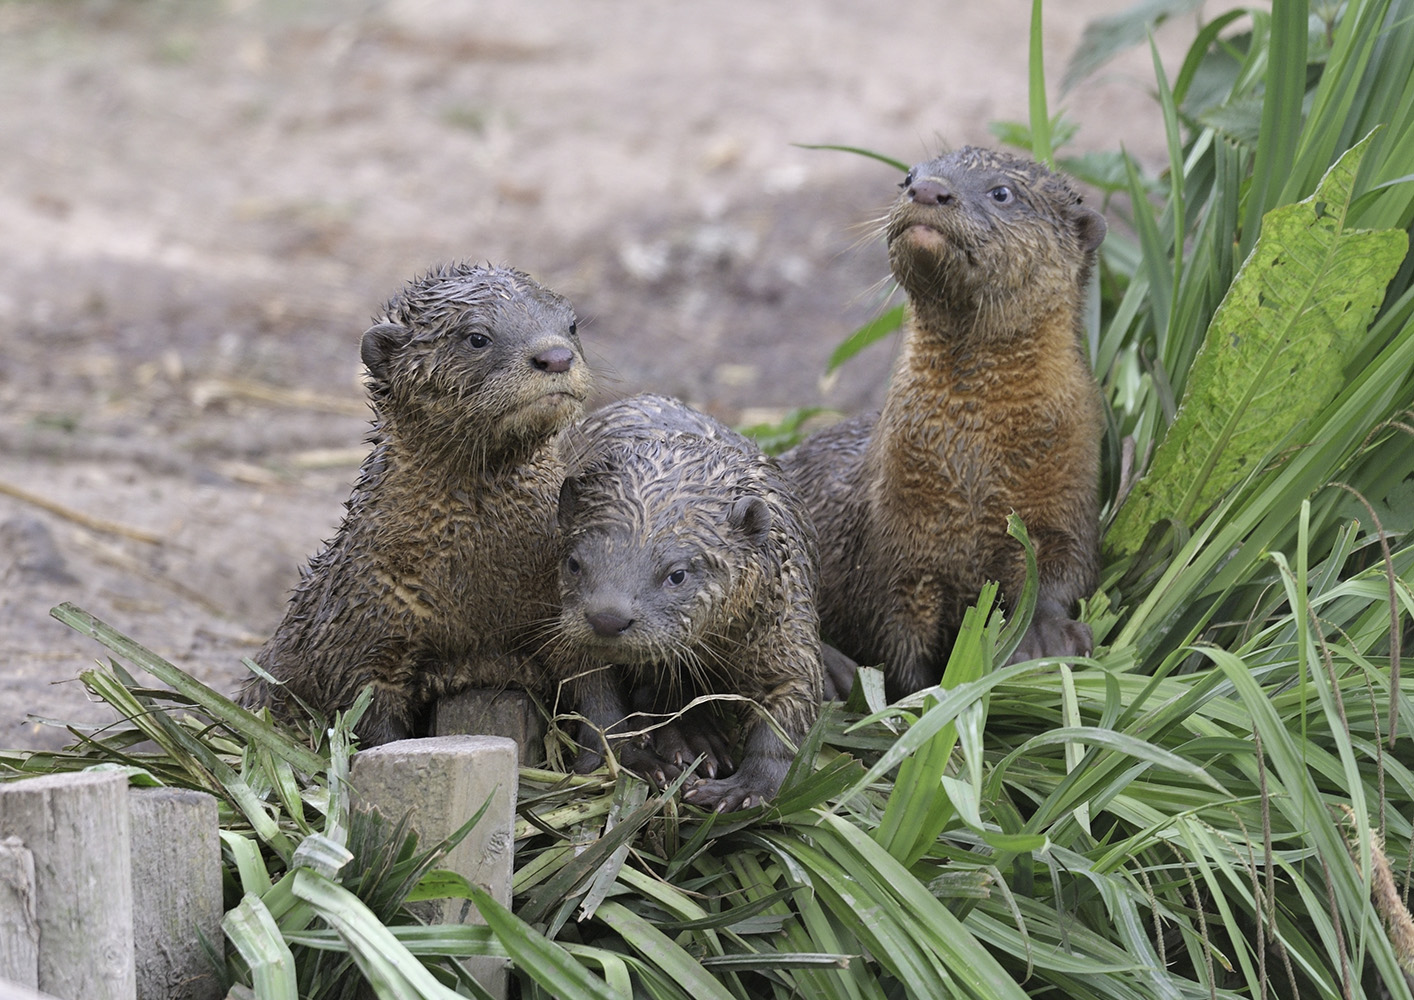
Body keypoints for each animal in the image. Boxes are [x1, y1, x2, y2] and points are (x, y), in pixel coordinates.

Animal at [553, 393, 823, 812]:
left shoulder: (786, 620)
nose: (607, 618)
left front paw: (747, 788)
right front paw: (634, 760)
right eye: (574, 563)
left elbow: (791, 702)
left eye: (677, 574)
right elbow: (595, 701)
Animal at [780, 146, 1106, 699]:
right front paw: (914, 700)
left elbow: (1062, 574)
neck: (975, 468)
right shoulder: (894, 551)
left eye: (1002, 192)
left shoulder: (1067, 502)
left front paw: (1044, 636)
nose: (929, 190)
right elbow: (897, 647)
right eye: (906, 177)